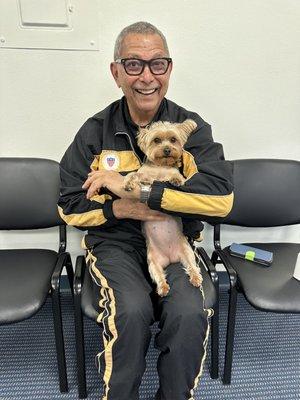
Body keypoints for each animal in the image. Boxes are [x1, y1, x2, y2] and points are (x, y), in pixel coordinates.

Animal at [123, 120, 203, 296]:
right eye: (156, 140)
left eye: (173, 140)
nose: (167, 150)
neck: (160, 166)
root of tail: (171, 257)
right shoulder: (143, 174)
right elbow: (134, 175)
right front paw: (128, 183)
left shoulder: (174, 175)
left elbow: (178, 177)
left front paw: (176, 180)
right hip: (152, 262)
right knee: (159, 276)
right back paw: (163, 288)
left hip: (187, 252)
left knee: (192, 266)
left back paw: (195, 278)